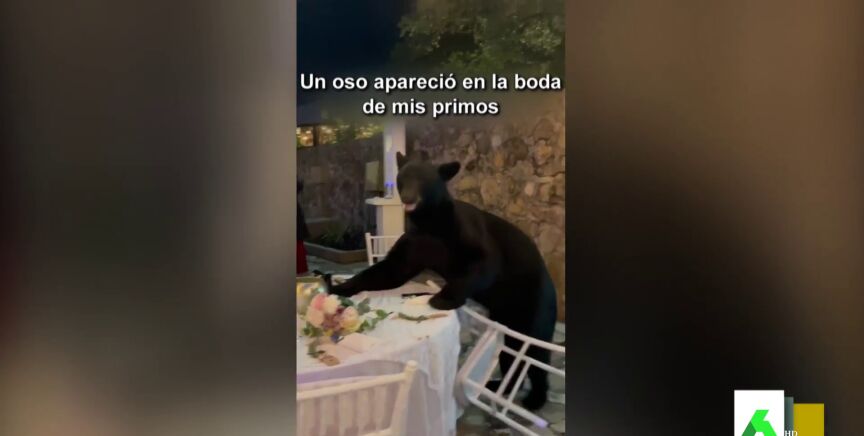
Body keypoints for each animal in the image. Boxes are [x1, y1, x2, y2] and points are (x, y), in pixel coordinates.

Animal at [330, 152, 558, 411]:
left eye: (423, 180)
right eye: (402, 178)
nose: (408, 197)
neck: (430, 222)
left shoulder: (467, 232)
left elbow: (485, 263)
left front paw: (442, 299)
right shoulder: (416, 242)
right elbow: (390, 270)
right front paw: (339, 286)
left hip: (535, 304)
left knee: (536, 351)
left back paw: (535, 399)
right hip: (505, 318)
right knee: (510, 352)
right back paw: (499, 385)